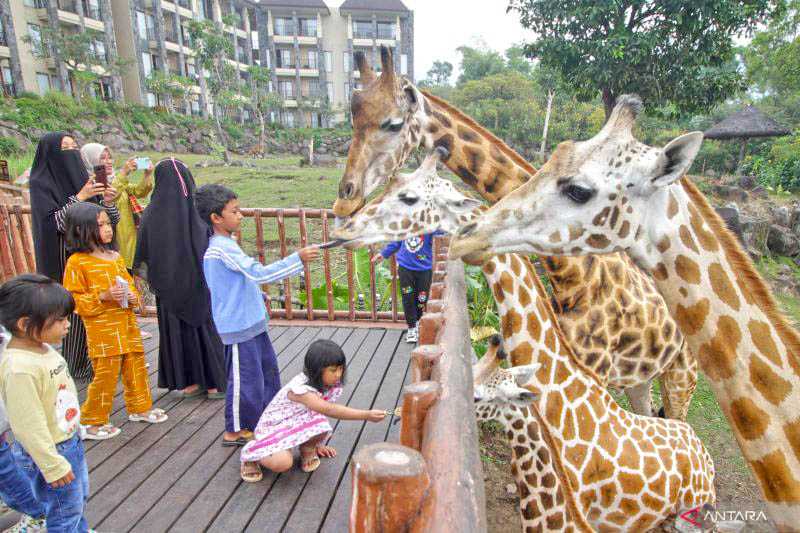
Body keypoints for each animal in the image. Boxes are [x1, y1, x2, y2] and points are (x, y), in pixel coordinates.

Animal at [332, 45, 692, 420]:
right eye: (353, 120)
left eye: (393, 123)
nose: (345, 201)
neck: (575, 274)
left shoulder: (596, 368)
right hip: (642, 378)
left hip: (680, 376)